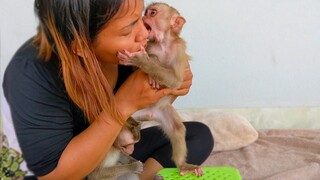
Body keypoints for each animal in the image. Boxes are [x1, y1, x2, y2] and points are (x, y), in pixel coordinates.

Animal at [117, 2, 202, 176]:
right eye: (145, 13)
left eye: (153, 13)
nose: (143, 19)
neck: (163, 43)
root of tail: (150, 114)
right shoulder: (149, 46)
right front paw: (150, 64)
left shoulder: (178, 50)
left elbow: (176, 81)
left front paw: (142, 60)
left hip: (163, 110)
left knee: (177, 129)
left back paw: (182, 165)